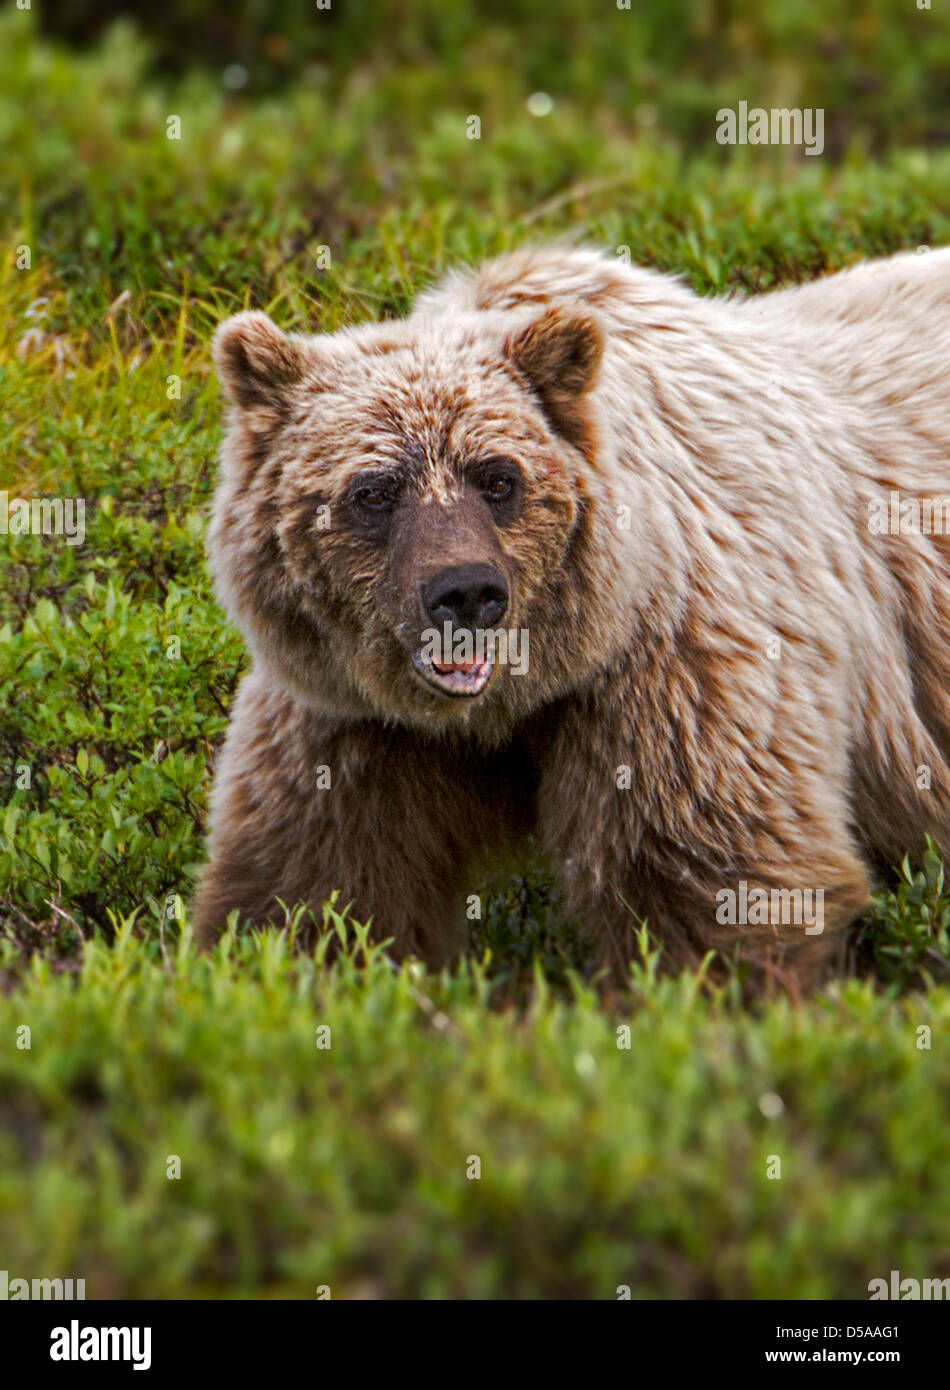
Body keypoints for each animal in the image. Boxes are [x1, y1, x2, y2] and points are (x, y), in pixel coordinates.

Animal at [193, 247, 950, 989]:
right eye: (374, 491)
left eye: (498, 478)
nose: (466, 593)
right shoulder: (352, 720)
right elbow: (320, 885)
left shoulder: (670, 670)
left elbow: (713, 875)